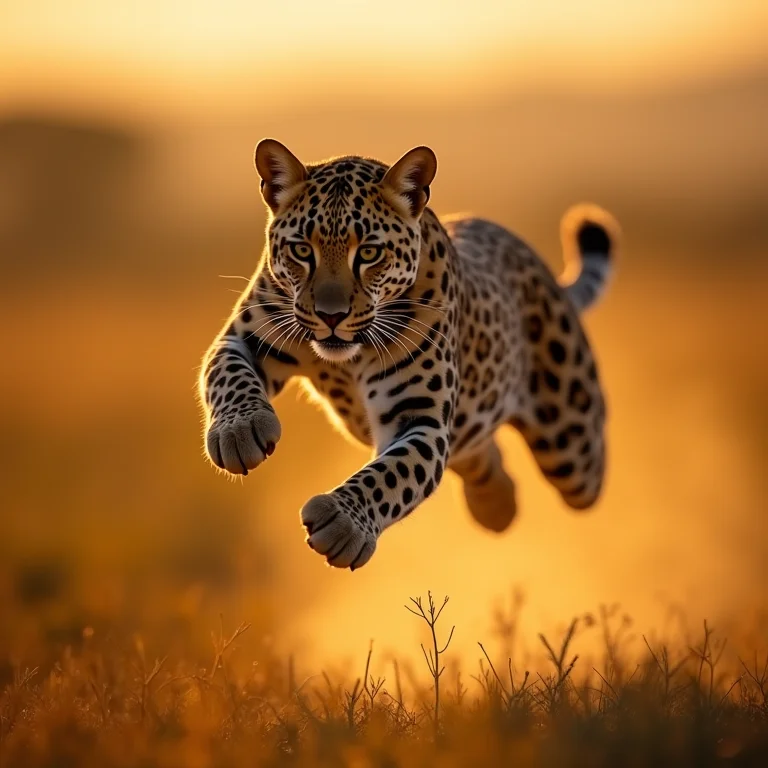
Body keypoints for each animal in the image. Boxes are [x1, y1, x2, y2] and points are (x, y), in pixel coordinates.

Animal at [198, 139, 619, 570]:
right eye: (301, 250)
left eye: (369, 253)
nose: (331, 316)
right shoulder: (243, 336)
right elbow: (226, 374)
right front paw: (239, 432)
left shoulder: (421, 417)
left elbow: (392, 474)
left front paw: (342, 525)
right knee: (479, 452)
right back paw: (496, 507)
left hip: (573, 448)